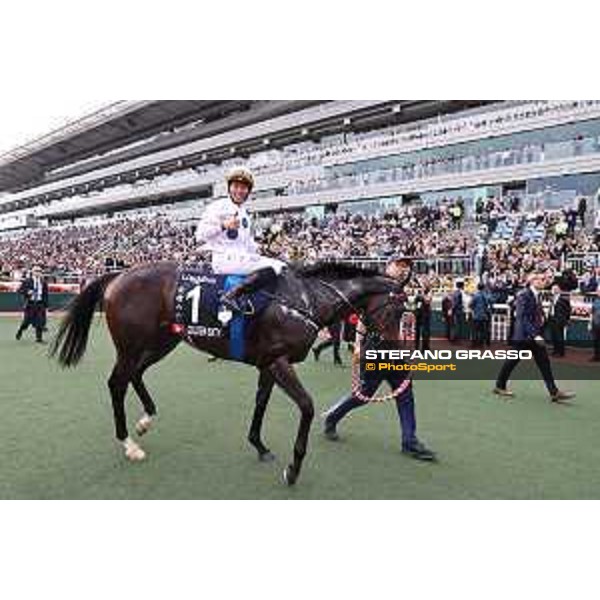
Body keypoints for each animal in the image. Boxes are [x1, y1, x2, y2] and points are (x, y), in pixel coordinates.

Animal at [51, 260, 406, 486]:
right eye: (399, 309)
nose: (392, 350)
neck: (303, 300)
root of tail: (119, 275)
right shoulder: (279, 361)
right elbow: (306, 406)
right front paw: (293, 468)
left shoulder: (269, 363)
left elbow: (261, 402)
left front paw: (259, 446)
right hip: (131, 345)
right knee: (117, 383)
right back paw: (128, 444)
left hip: (163, 342)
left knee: (135, 375)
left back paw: (145, 420)